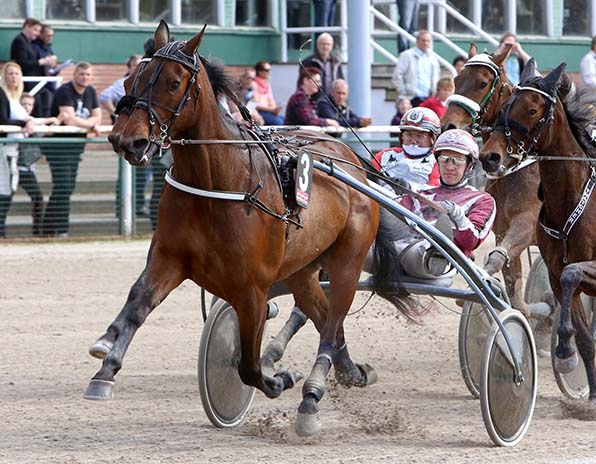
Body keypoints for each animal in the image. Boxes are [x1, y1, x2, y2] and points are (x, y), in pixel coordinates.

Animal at [82, 20, 420, 436]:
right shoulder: (169, 259)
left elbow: (247, 365)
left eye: (174, 83)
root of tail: (348, 159)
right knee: (325, 318)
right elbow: (137, 304)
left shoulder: (252, 289)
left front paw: (279, 379)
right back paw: (350, 372)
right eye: (133, 78)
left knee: (331, 325)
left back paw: (311, 398)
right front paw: (106, 366)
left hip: (347, 262)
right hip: (302, 270)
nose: (126, 139)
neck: (219, 182)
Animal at [440, 43, 544, 314]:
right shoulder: (502, 228)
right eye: (456, 80)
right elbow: (513, 287)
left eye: (483, 83)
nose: (447, 125)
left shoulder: (527, 221)